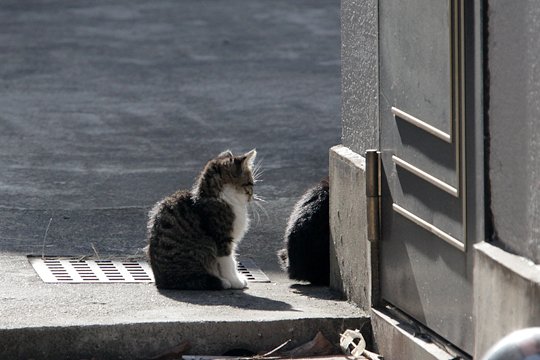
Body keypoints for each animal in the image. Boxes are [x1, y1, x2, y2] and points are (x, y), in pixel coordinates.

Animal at [148, 149, 258, 290]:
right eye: (250, 183)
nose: (252, 196)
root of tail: (161, 281)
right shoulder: (222, 239)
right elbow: (229, 262)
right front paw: (235, 281)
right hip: (203, 249)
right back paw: (222, 282)